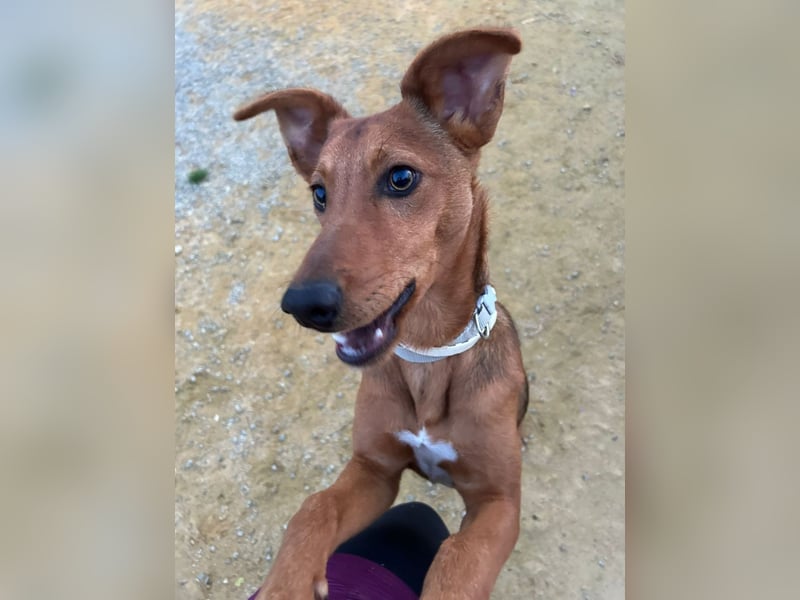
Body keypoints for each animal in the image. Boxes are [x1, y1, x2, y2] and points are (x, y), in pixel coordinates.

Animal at [235, 27, 528, 600]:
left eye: (400, 178)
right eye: (319, 193)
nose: (302, 305)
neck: (430, 356)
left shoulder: (499, 504)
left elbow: (457, 561)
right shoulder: (373, 470)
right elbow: (312, 509)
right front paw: (283, 584)